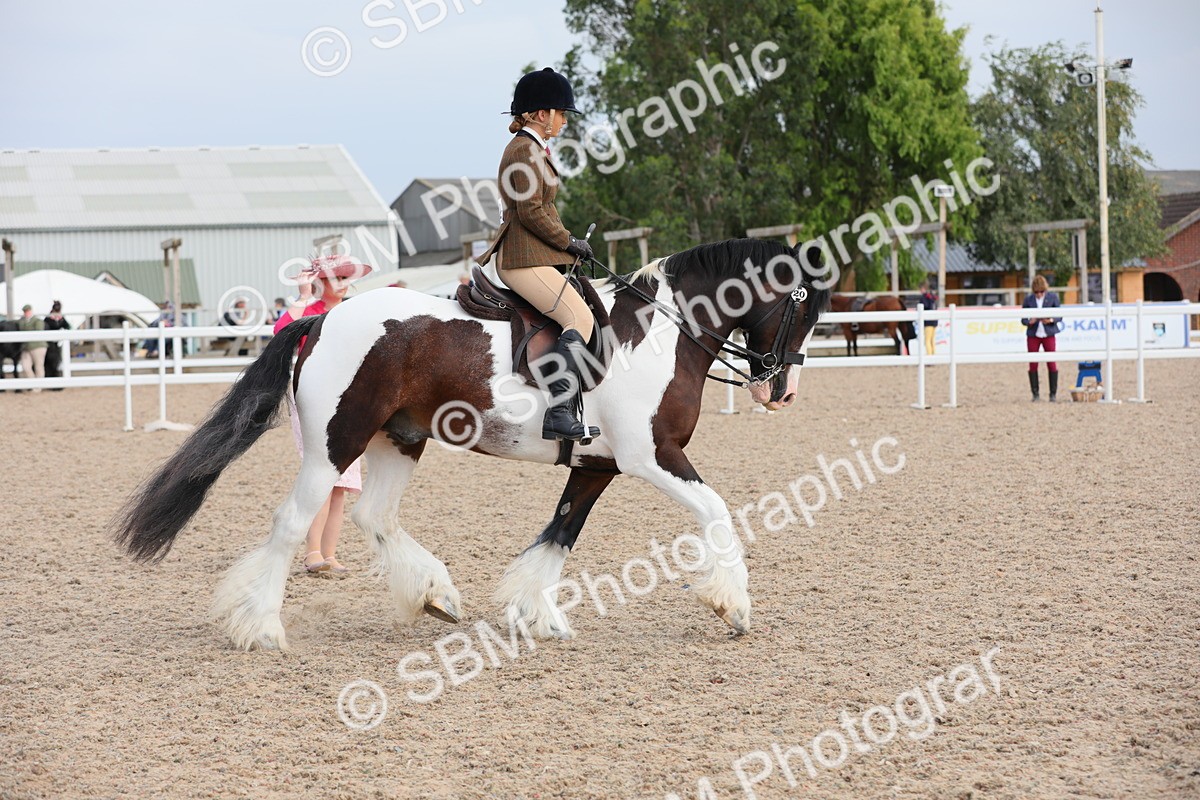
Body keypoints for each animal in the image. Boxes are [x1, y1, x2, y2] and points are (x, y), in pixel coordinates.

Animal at [113, 238, 830, 651]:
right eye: (804, 306)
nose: (783, 390)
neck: (656, 333)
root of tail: (322, 319)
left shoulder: (597, 465)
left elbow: (559, 534)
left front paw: (536, 614)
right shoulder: (652, 458)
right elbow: (717, 511)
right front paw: (731, 605)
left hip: (398, 439)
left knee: (375, 515)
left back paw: (434, 594)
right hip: (334, 447)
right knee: (294, 522)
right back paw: (261, 626)